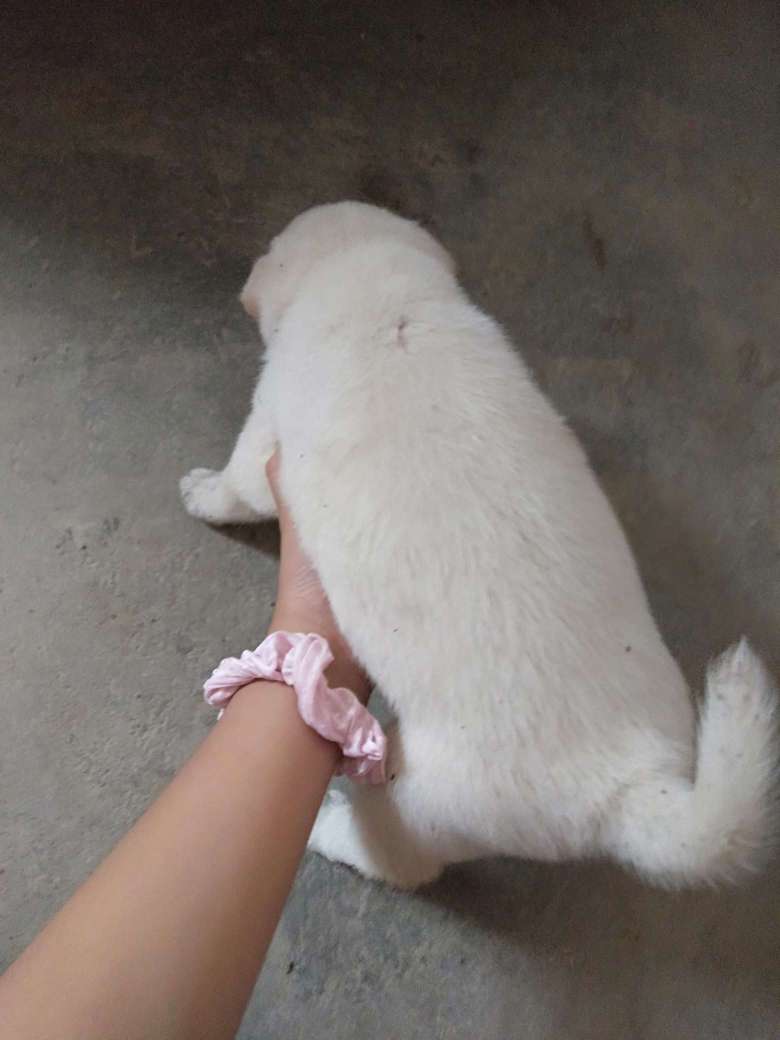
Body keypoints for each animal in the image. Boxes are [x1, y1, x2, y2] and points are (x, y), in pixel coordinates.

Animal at [181, 201, 776, 889]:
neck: (380, 296)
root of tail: (629, 786)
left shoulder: (268, 430)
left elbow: (239, 483)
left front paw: (200, 493)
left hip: (423, 799)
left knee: (398, 858)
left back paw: (332, 830)